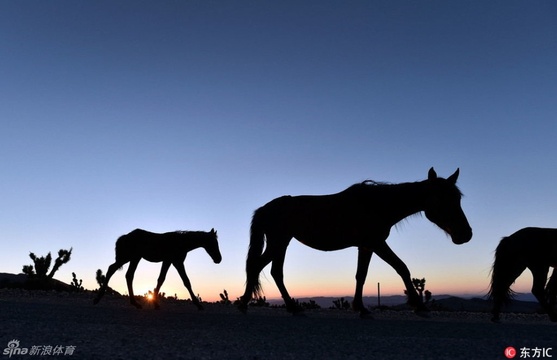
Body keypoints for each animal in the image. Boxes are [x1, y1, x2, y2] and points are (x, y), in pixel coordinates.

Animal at [92, 228, 220, 310]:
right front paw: (198, 305)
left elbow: (161, 279)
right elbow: (186, 281)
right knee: (115, 270)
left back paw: (134, 303)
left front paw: (155, 303)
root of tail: (125, 236)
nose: (219, 259)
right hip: (130, 257)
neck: (180, 242)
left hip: (133, 258)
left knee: (125, 274)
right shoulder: (176, 262)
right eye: (213, 243)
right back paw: (99, 298)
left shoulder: (169, 262)